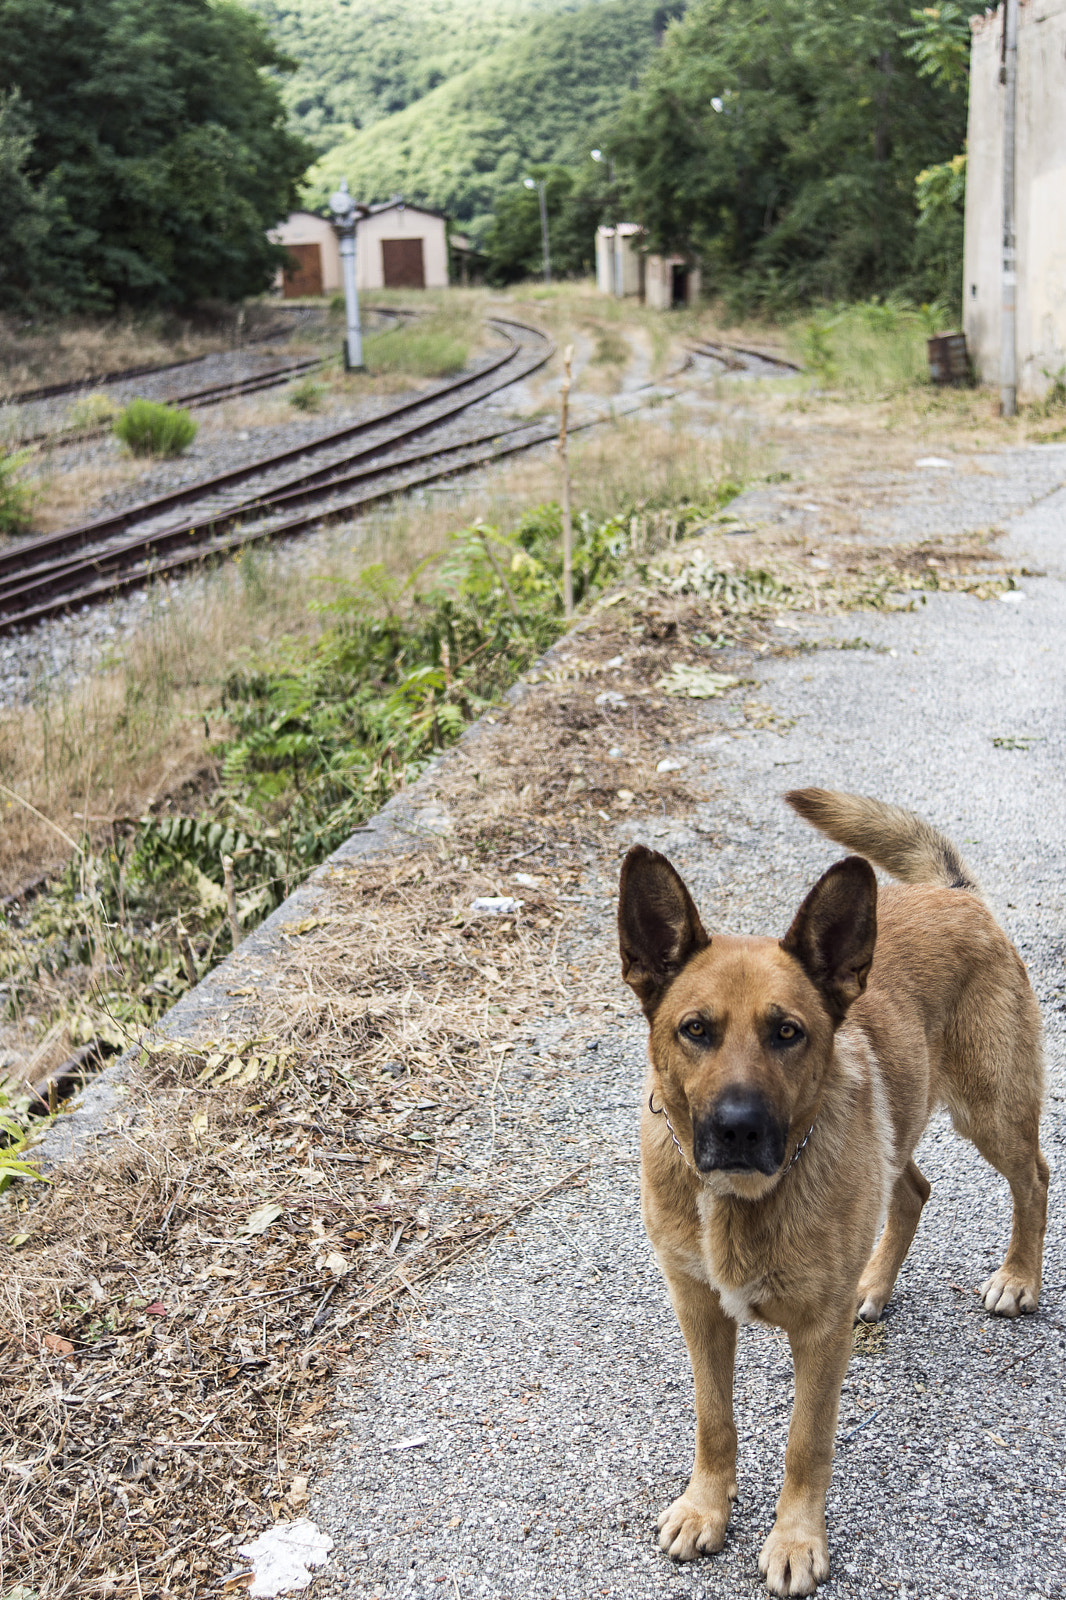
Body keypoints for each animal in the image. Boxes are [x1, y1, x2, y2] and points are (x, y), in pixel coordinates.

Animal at [617, 790, 1043, 1600]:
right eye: (695, 1030)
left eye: (788, 1033)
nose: (739, 1128)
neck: (742, 1200)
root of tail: (954, 894)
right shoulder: (698, 1311)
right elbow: (713, 1420)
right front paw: (706, 1506)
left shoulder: (818, 1338)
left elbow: (804, 1442)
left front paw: (795, 1540)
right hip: (902, 1130)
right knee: (913, 1189)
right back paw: (873, 1283)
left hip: (992, 1113)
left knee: (1033, 1180)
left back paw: (1019, 1278)